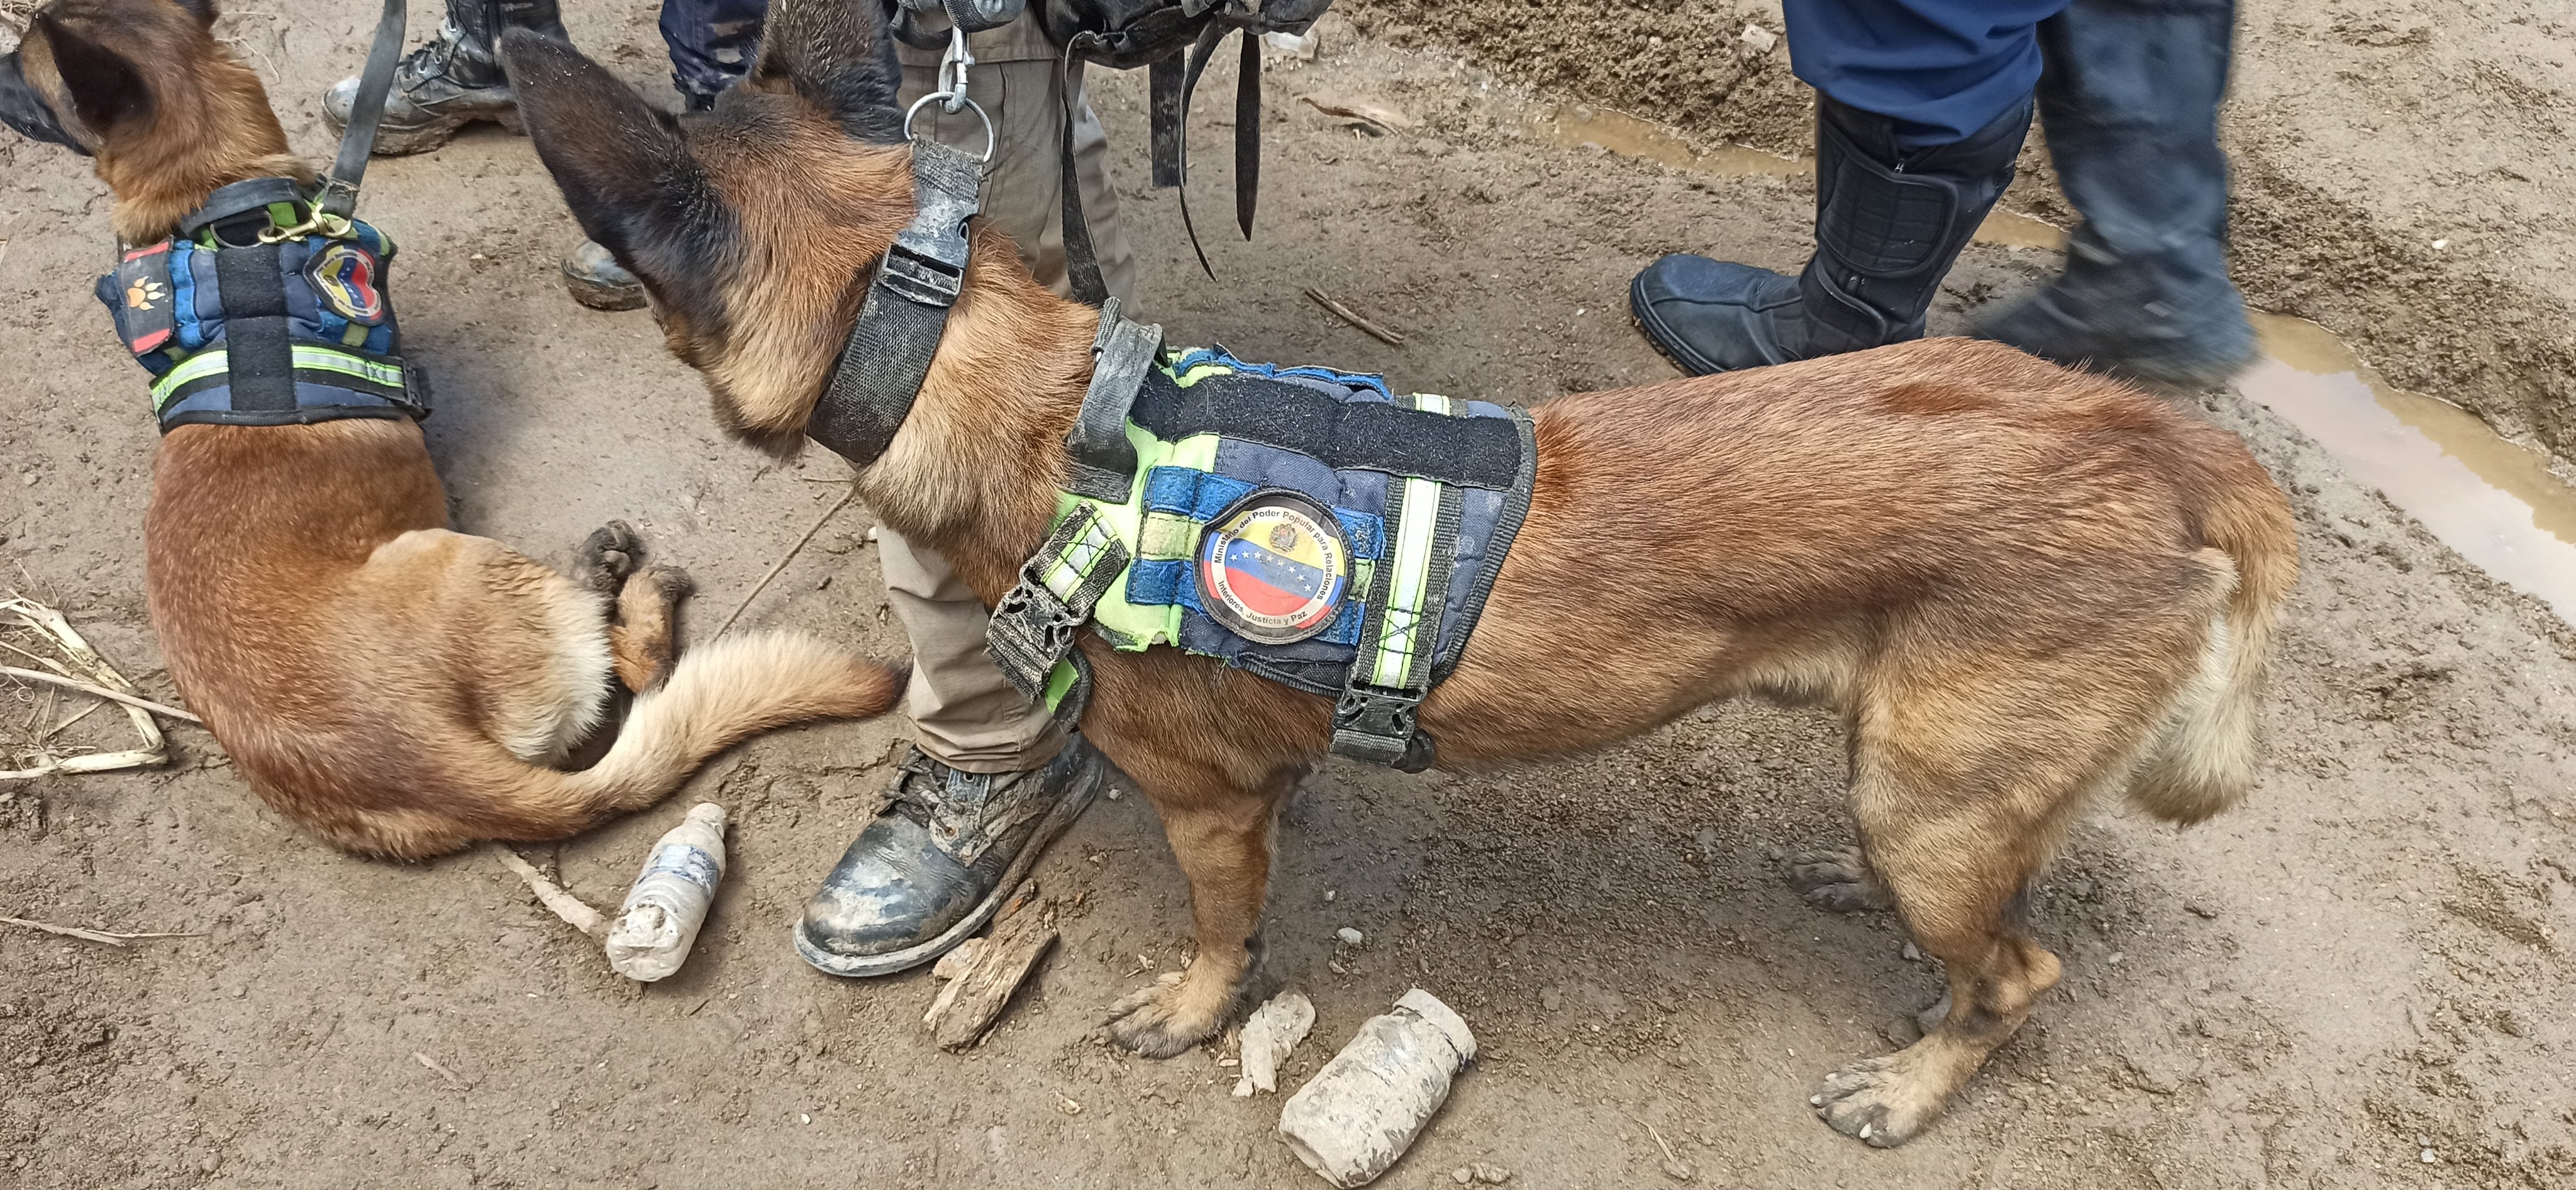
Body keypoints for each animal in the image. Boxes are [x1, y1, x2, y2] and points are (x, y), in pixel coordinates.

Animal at [0, 0, 906, 860]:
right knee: (636, 666)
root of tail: (441, 770)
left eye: (26, 68)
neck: (223, 206)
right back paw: (616, 581)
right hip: (455, 555)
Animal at [497, 2, 2297, 1154]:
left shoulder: (1211, 811)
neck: (1004, 379)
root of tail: (2164, 444)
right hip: (1926, 784)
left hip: (1938, 804)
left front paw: (1194, 1007)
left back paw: (1912, 1085)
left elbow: (1225, 930)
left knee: (2019, 977)